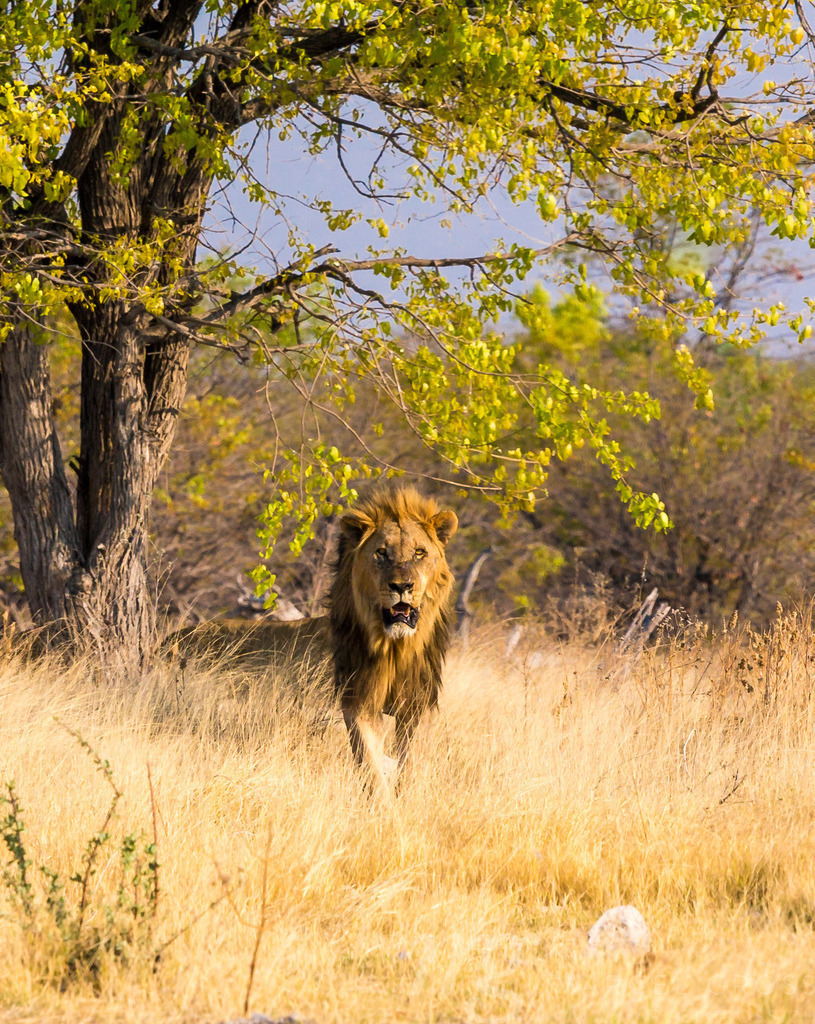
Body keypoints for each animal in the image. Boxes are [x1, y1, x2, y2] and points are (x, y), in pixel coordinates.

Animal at [329, 484, 458, 792]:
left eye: (419, 552)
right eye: (381, 553)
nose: (401, 586)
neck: (395, 647)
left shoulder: (416, 703)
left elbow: (408, 762)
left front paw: (406, 793)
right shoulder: (359, 697)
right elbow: (369, 762)